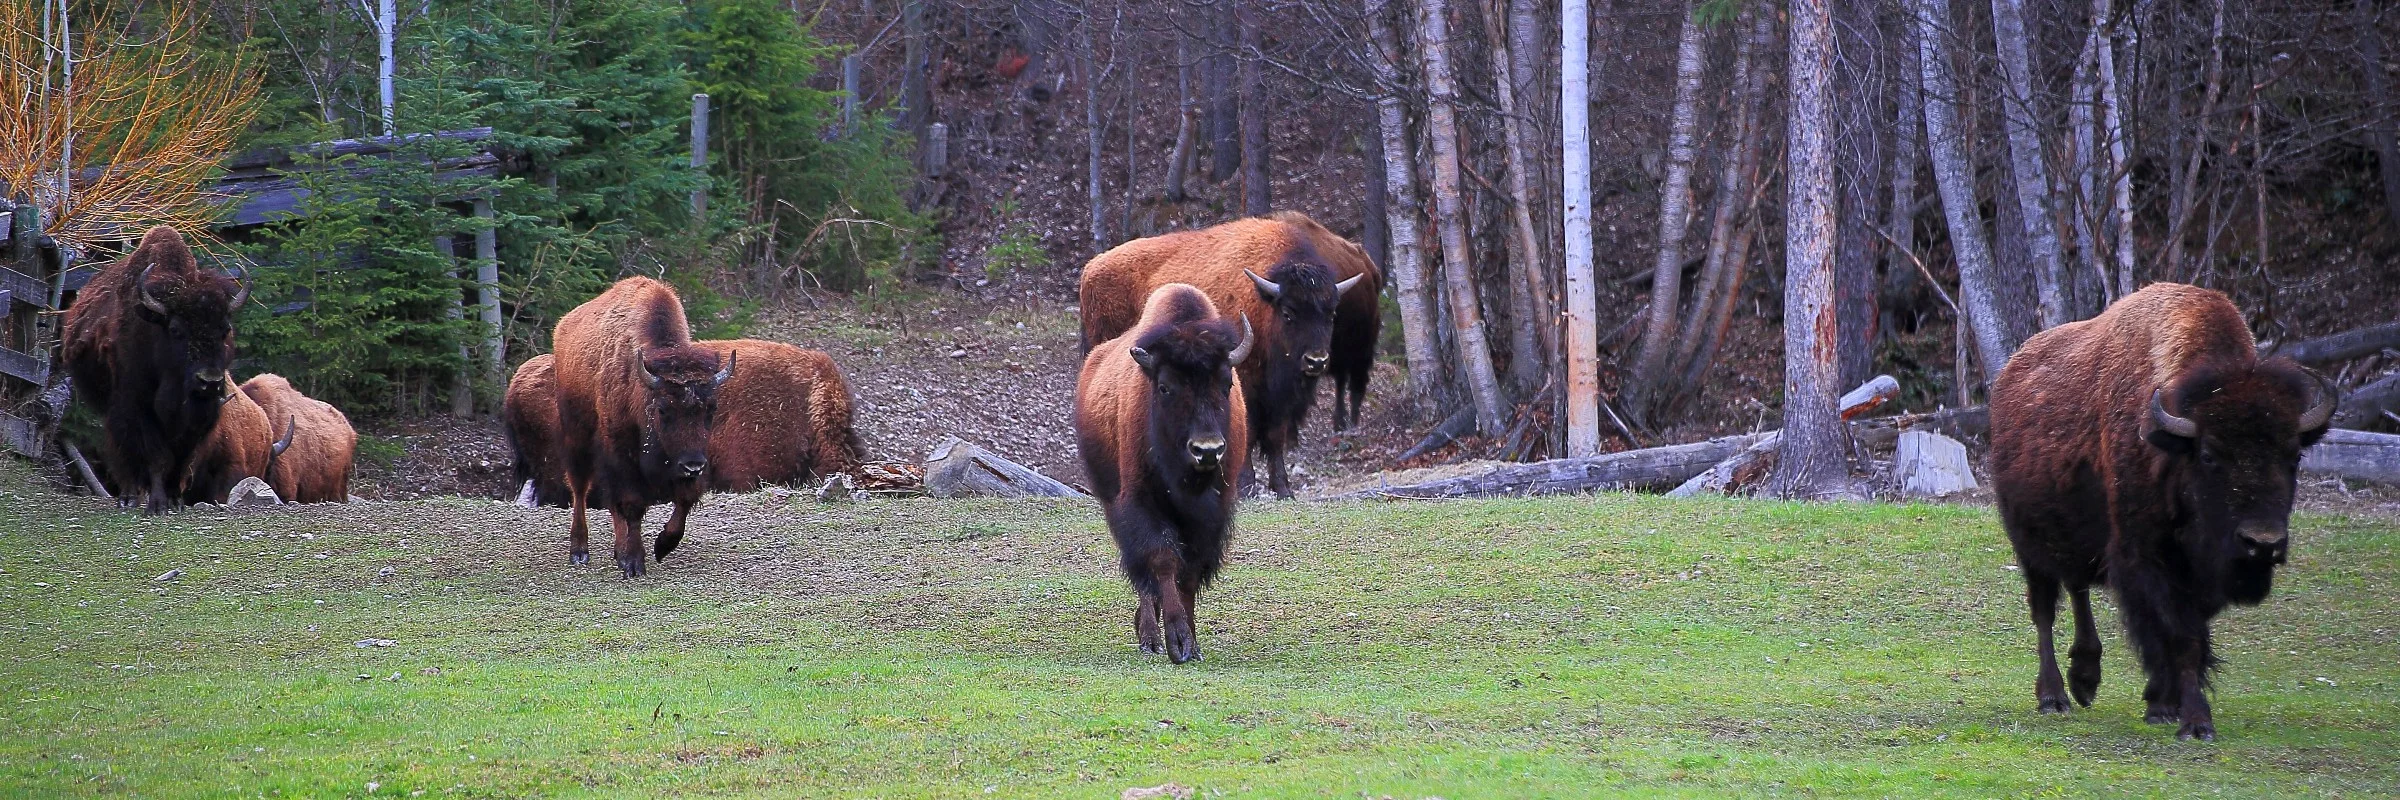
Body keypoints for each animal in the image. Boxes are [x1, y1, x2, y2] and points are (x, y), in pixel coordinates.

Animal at [61, 226, 247, 514]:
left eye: (225, 330)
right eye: (176, 330)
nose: (209, 381)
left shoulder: (200, 418)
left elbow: (182, 457)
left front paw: (175, 500)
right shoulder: (138, 408)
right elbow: (156, 455)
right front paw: (158, 504)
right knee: (121, 449)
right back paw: (128, 497)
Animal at [551, 277, 733, 578]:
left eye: (711, 408)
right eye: (663, 409)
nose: (692, 465)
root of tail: (562, 327)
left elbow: (684, 500)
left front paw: (663, 545)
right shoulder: (623, 454)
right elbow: (633, 504)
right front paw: (634, 562)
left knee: (610, 502)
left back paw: (618, 551)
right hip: (576, 436)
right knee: (580, 489)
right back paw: (579, 551)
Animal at [1075, 283, 1254, 664]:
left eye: (1227, 384)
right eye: (1165, 387)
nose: (1207, 450)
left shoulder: (1212, 515)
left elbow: (1189, 573)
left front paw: (1193, 643)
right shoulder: (1142, 503)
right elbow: (1162, 560)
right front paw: (1177, 642)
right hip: (1111, 500)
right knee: (1142, 574)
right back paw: (1149, 638)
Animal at [1078, 213, 1367, 498]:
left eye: (1331, 314)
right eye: (1288, 313)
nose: (1316, 361)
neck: (1264, 303)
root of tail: (1090, 268)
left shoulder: (1278, 399)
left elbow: (1275, 437)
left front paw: (1283, 488)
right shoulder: (1245, 385)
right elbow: (1248, 432)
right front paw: (1247, 486)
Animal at [1990, 282, 2336, 741]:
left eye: (2294, 455)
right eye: (2209, 455)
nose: (2262, 543)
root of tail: (2009, 374)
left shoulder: (2198, 576)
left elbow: (2192, 636)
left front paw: (2165, 703)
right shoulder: (2146, 558)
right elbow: (2177, 634)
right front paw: (2191, 719)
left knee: (2078, 589)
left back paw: (2086, 680)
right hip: (2029, 546)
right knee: (2045, 609)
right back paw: (2054, 696)